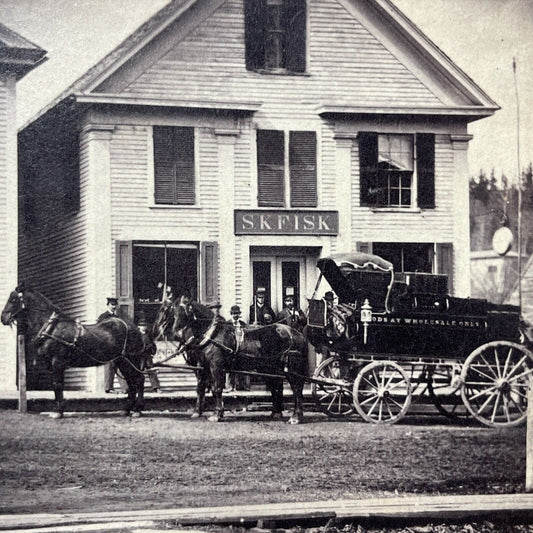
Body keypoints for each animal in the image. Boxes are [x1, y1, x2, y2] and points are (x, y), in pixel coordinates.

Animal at [1, 286, 147, 416]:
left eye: (13, 299)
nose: (3, 318)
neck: (51, 328)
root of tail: (134, 328)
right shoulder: (52, 365)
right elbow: (55, 385)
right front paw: (58, 410)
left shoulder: (57, 362)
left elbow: (58, 385)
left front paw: (58, 412)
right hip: (122, 361)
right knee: (131, 382)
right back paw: (127, 409)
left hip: (130, 359)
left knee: (139, 379)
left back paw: (137, 410)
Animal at [152, 298, 308, 422]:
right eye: (173, 312)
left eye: (182, 312)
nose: (176, 333)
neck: (212, 335)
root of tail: (297, 334)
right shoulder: (203, 366)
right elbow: (202, 388)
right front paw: (200, 412)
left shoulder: (215, 366)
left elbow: (216, 388)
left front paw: (217, 414)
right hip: (271, 368)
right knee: (276, 387)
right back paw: (276, 412)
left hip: (291, 367)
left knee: (296, 388)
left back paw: (296, 416)